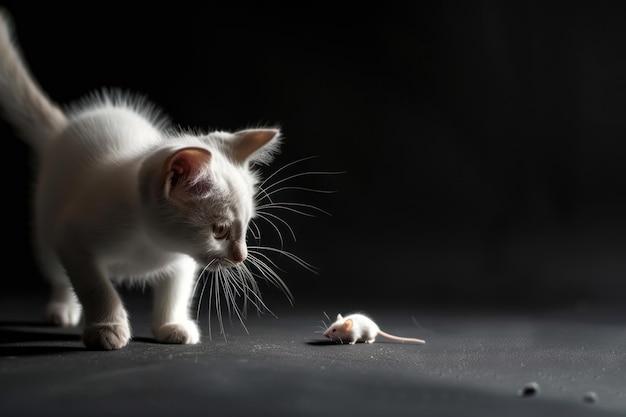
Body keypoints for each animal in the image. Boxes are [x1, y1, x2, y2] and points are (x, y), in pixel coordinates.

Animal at [0, 8, 286, 348]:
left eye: (247, 226)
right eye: (219, 231)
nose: (242, 257)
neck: (147, 242)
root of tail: (64, 128)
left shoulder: (182, 259)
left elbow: (176, 289)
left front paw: (172, 325)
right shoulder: (71, 237)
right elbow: (96, 286)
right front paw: (108, 327)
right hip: (46, 228)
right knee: (57, 270)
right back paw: (62, 308)